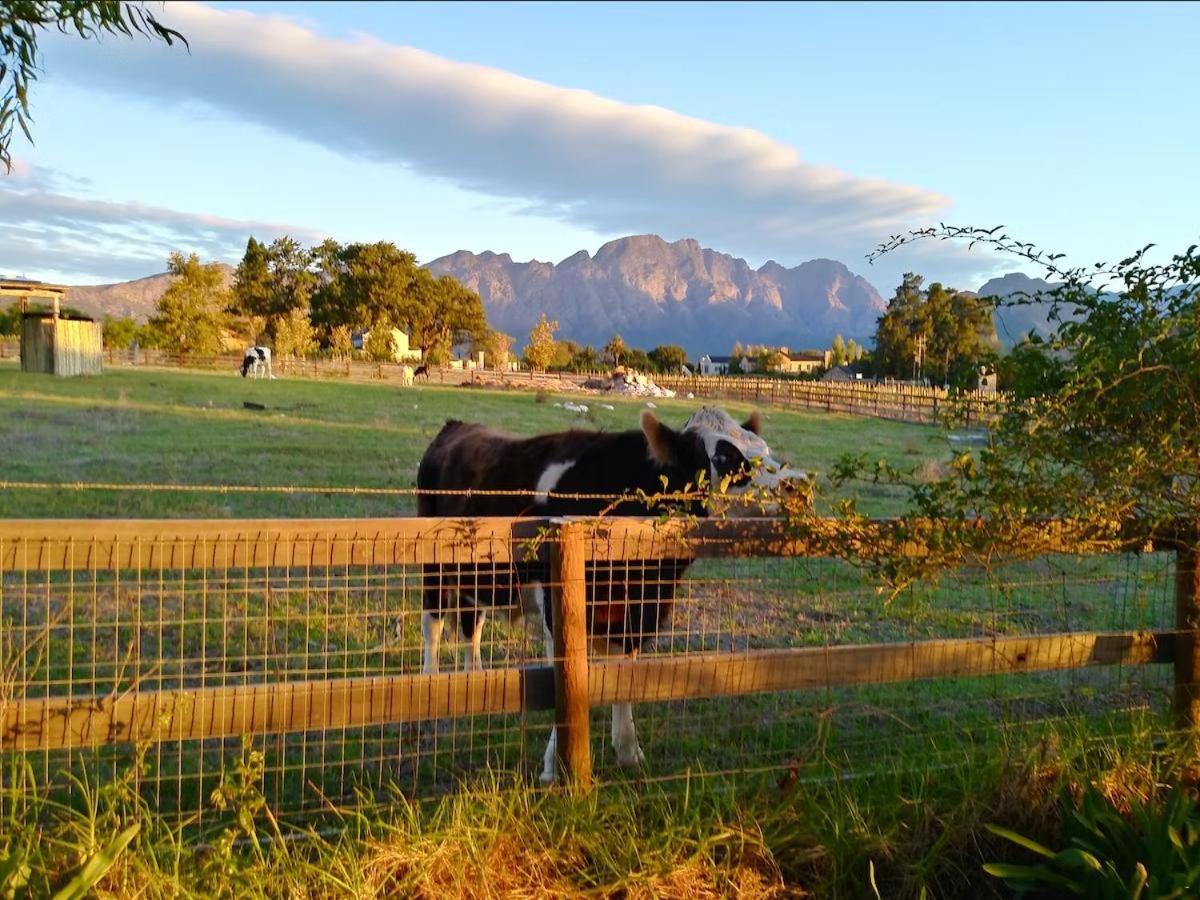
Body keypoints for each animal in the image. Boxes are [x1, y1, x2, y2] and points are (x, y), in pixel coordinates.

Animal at [415, 408, 806, 782]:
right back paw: (431, 692)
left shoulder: (639, 611)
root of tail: (456, 426)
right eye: (724, 457)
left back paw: (477, 684)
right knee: (433, 626)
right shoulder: (560, 608)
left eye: (764, 447)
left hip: (477, 578)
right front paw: (554, 766)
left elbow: (624, 678)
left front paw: (629, 753)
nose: (797, 485)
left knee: (471, 625)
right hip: (432, 566)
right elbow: (568, 681)